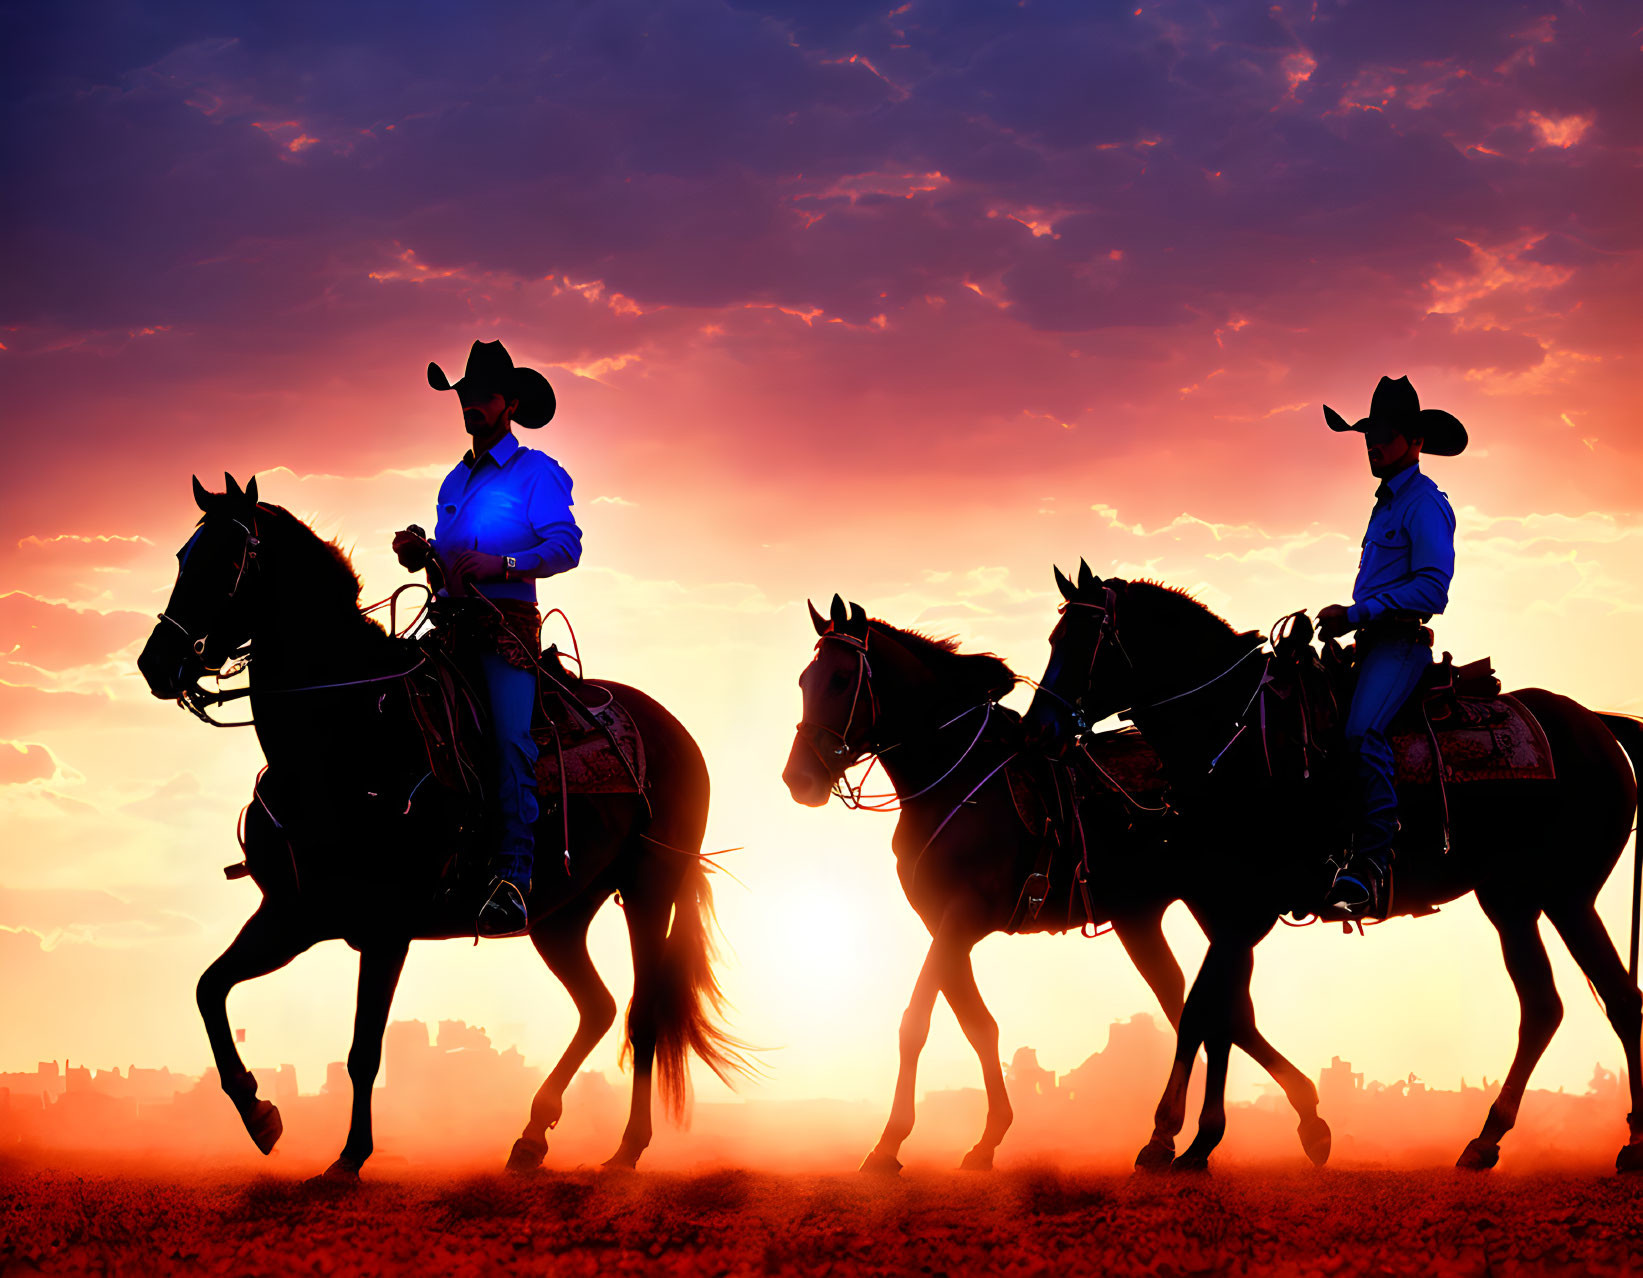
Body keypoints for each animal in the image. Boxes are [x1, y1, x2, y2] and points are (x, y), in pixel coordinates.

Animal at [134, 473, 752, 1182]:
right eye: (183, 557)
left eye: (226, 560)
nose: (156, 664)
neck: (347, 735)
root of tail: (673, 732)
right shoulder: (293, 916)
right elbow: (210, 989)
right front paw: (261, 1115)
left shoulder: (385, 928)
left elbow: (363, 1050)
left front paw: (349, 1157)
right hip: (560, 915)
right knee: (596, 1007)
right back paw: (530, 1138)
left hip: (650, 887)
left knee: (640, 1013)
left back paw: (624, 1151)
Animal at [775, 591, 1327, 1169]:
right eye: (804, 680)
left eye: (841, 680)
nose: (799, 779)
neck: (956, 780)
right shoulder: (942, 924)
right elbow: (977, 1024)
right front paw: (989, 1135)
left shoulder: (961, 918)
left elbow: (916, 1022)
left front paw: (888, 1144)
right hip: (1145, 916)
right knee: (1208, 1004)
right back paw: (1290, 1116)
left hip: (1216, 903)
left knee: (1216, 1006)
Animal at [1025, 561, 1643, 1169]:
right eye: (1054, 638)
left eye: (1085, 642)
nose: (1040, 729)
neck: (1239, 735)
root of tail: (1598, 726)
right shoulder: (1223, 910)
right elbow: (1223, 1009)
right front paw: (1218, 1138)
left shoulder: (1246, 911)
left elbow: (1202, 1009)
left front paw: (1165, 1136)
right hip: (1512, 900)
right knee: (1544, 1006)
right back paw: (1485, 1139)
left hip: (1568, 895)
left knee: (1618, 998)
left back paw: (1630, 1144)